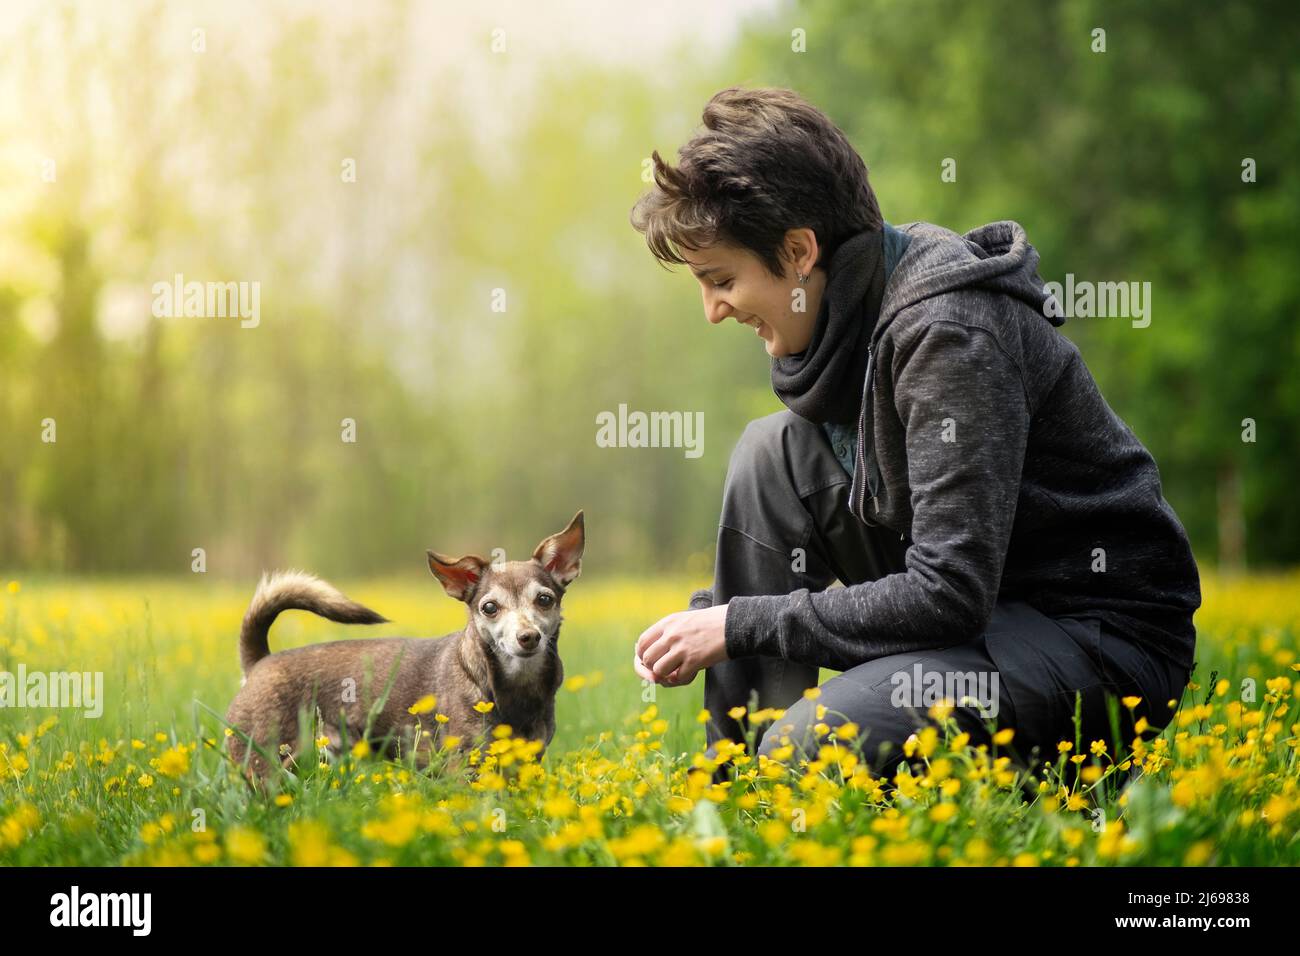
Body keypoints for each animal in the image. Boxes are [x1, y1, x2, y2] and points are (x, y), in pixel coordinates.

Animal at [224, 512, 585, 780]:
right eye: (490, 607)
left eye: (544, 600)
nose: (528, 637)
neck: (515, 685)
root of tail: (259, 662)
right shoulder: (466, 767)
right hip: (267, 764)